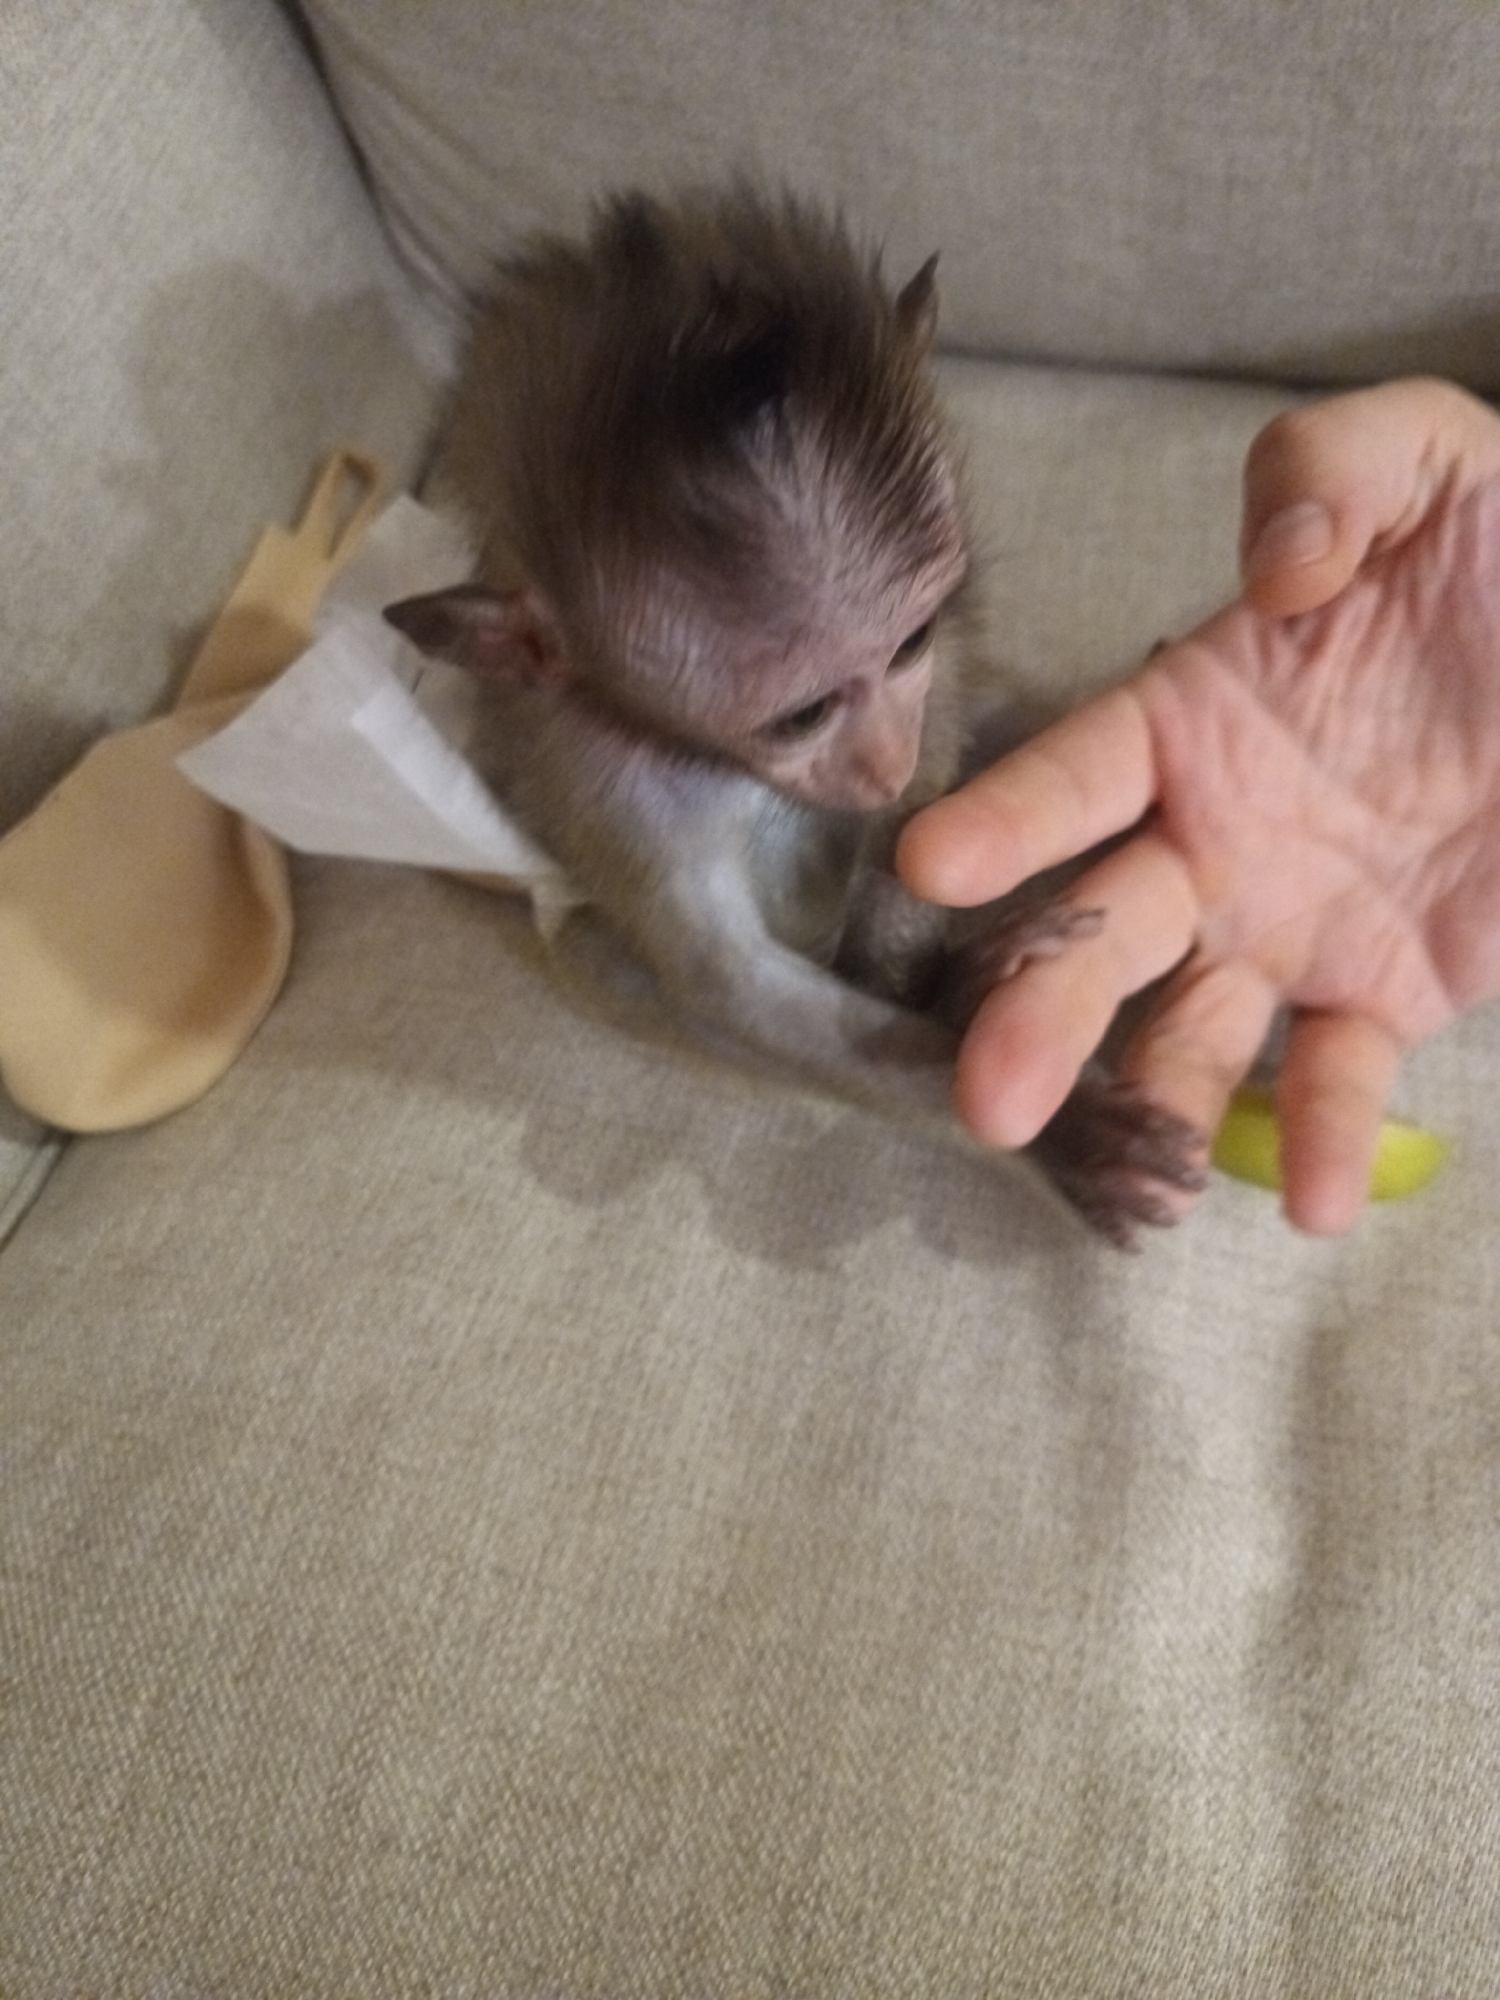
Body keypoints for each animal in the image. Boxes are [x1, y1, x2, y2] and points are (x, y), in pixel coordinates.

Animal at [384, 185, 1207, 1244]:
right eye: (799, 716)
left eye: (907, 645)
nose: (882, 762)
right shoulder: (613, 777)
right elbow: (735, 989)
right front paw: (1054, 1125)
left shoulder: (935, 661)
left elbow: (946, 761)